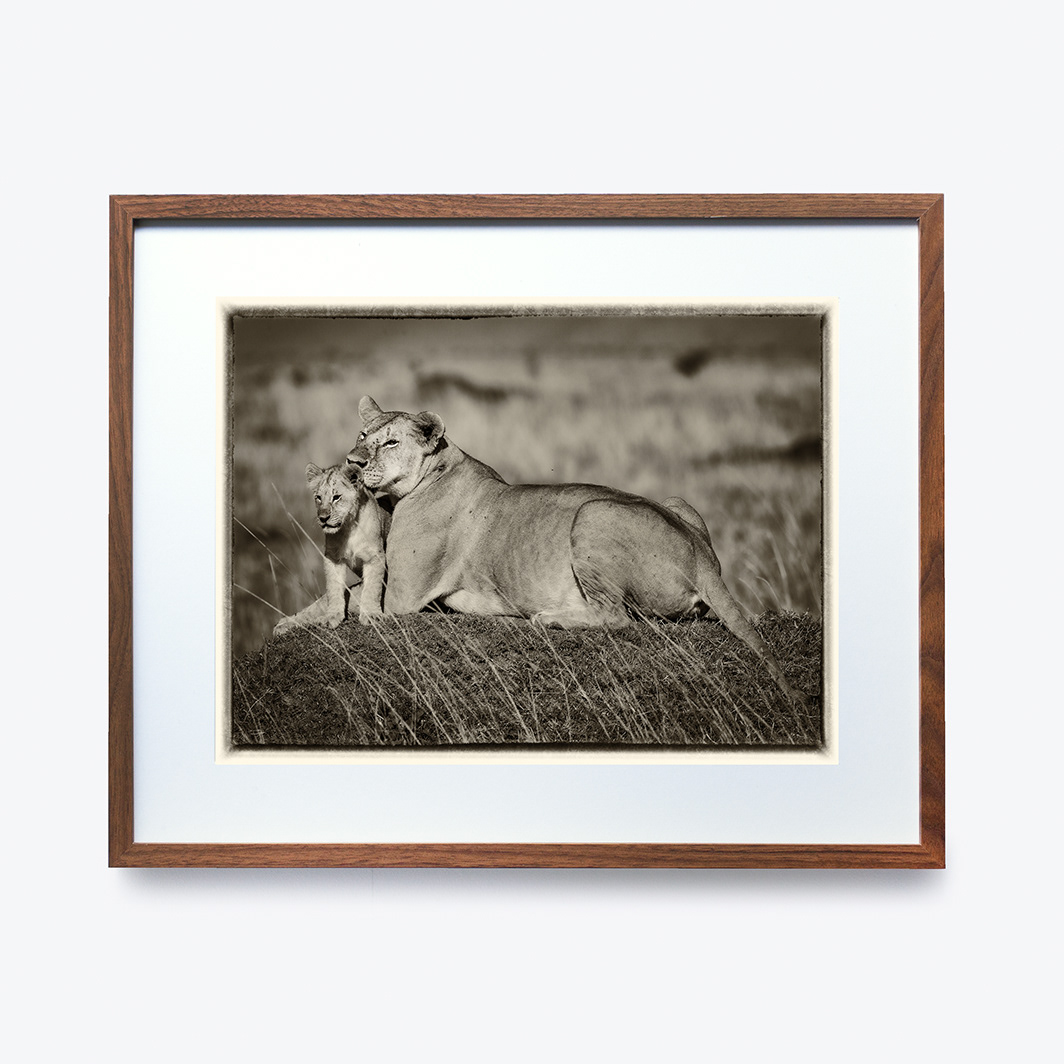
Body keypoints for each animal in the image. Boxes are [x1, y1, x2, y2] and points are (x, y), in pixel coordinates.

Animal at [272, 462, 389, 636]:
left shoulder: (375, 556)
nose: (323, 518)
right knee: (311, 609)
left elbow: (372, 588)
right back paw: (283, 625)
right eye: (318, 497)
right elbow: (334, 588)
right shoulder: (333, 558)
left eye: (336, 497)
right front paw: (332, 616)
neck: (349, 527)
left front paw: (372, 615)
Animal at [345, 397, 810, 705]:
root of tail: (702, 558)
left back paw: (548, 617)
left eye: (390, 443)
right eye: (363, 435)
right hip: (676, 502)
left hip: (592, 512)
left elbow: (355, 598)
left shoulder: (401, 598)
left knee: (617, 617)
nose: (351, 461)